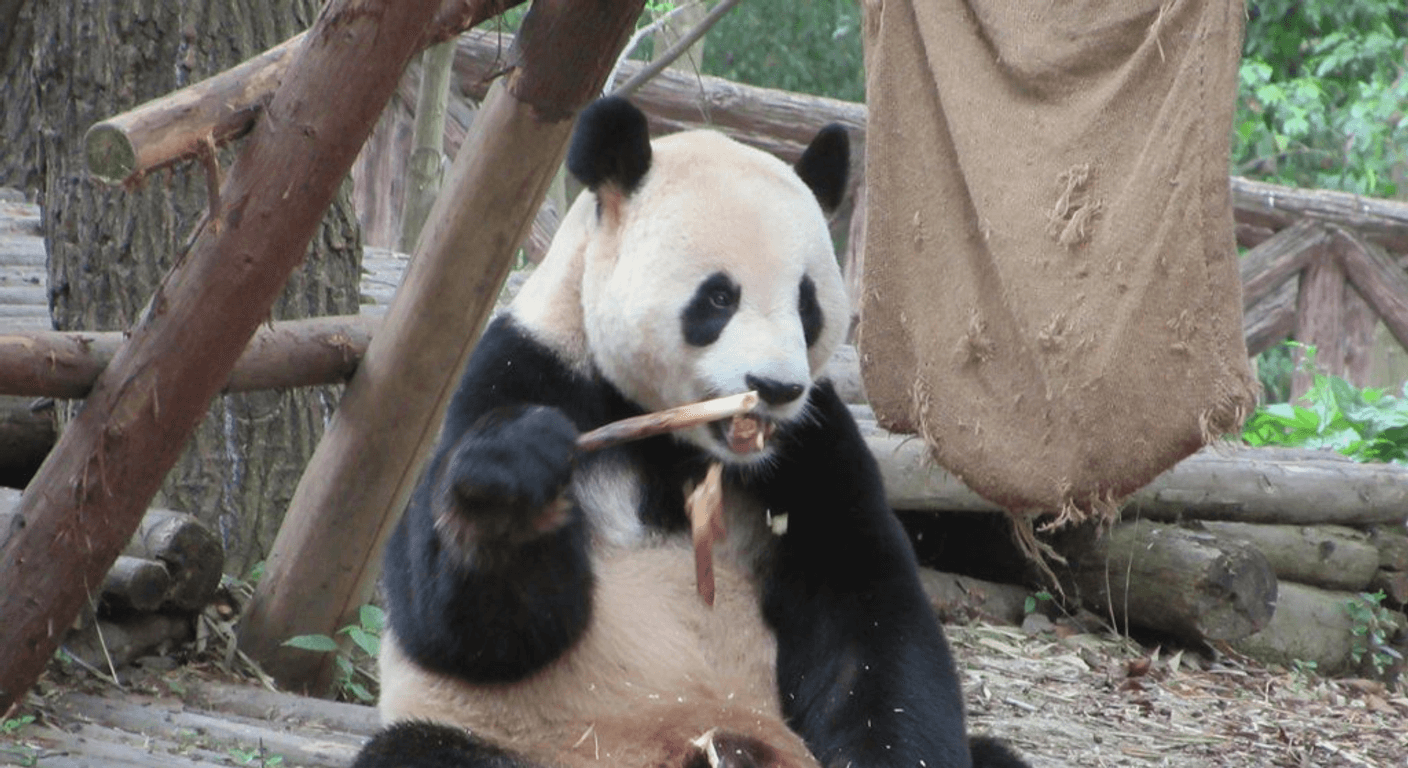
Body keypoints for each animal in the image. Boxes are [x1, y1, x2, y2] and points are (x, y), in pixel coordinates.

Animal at [352, 97, 1029, 768]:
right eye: (719, 297)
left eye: (807, 303)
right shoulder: (523, 369)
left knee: (994, 754)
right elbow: (463, 630)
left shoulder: (812, 443)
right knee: (418, 750)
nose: (775, 387)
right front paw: (514, 481)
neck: (678, 437)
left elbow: (865, 607)